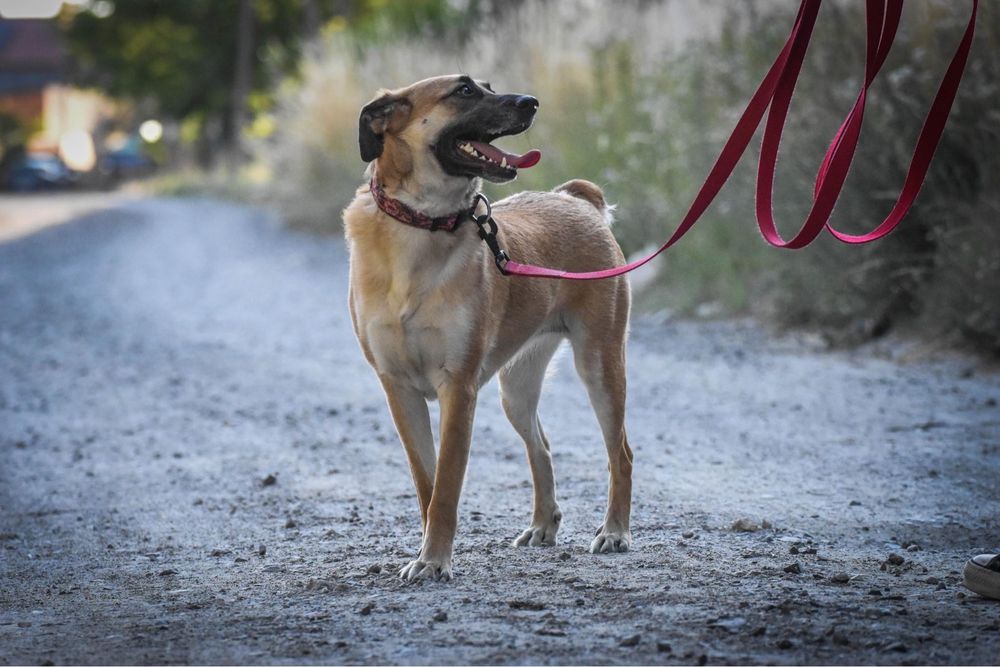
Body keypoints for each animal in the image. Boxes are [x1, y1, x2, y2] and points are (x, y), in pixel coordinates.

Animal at [340, 75, 628, 580]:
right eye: (465, 91)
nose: (532, 102)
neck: (423, 226)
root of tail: (574, 201)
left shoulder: (458, 388)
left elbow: (448, 485)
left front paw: (434, 560)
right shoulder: (399, 389)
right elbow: (427, 483)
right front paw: (428, 550)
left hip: (599, 366)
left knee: (620, 456)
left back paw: (614, 531)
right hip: (516, 389)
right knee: (542, 447)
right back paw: (543, 525)